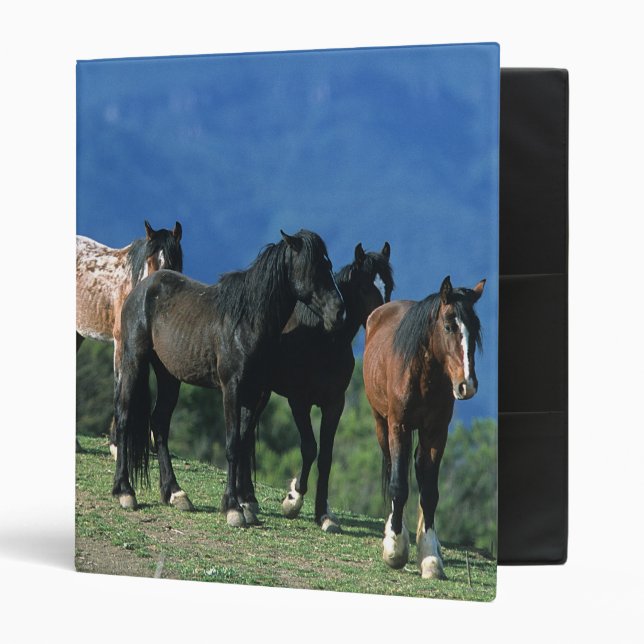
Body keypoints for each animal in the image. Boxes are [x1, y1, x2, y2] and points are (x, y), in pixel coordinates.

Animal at [112, 230, 345, 529]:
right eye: (313, 267)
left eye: (328, 265)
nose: (338, 312)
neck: (246, 322)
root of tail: (141, 289)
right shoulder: (232, 389)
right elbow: (233, 445)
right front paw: (233, 508)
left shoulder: (254, 392)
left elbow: (243, 442)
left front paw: (244, 505)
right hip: (134, 361)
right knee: (125, 417)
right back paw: (125, 492)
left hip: (169, 376)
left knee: (160, 423)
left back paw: (175, 493)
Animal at [252, 242, 394, 533]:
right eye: (365, 287)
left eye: (389, 288)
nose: (382, 320)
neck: (322, 339)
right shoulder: (299, 402)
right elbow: (309, 448)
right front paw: (293, 498)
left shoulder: (334, 404)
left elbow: (326, 456)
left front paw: (323, 515)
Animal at [363, 275, 485, 579]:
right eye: (449, 326)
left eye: (475, 329)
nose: (467, 385)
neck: (422, 375)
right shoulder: (399, 426)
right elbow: (398, 484)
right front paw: (395, 548)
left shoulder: (436, 432)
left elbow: (429, 492)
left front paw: (430, 556)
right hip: (381, 424)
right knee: (393, 469)